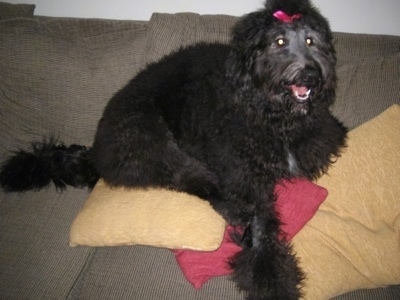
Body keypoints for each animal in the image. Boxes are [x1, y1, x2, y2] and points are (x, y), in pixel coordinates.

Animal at [0, 0, 346, 298]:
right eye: (279, 42)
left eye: (312, 40)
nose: (311, 74)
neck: (269, 112)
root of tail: (97, 152)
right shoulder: (243, 175)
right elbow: (262, 233)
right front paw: (271, 281)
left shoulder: (318, 137)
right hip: (150, 138)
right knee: (192, 182)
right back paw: (232, 209)